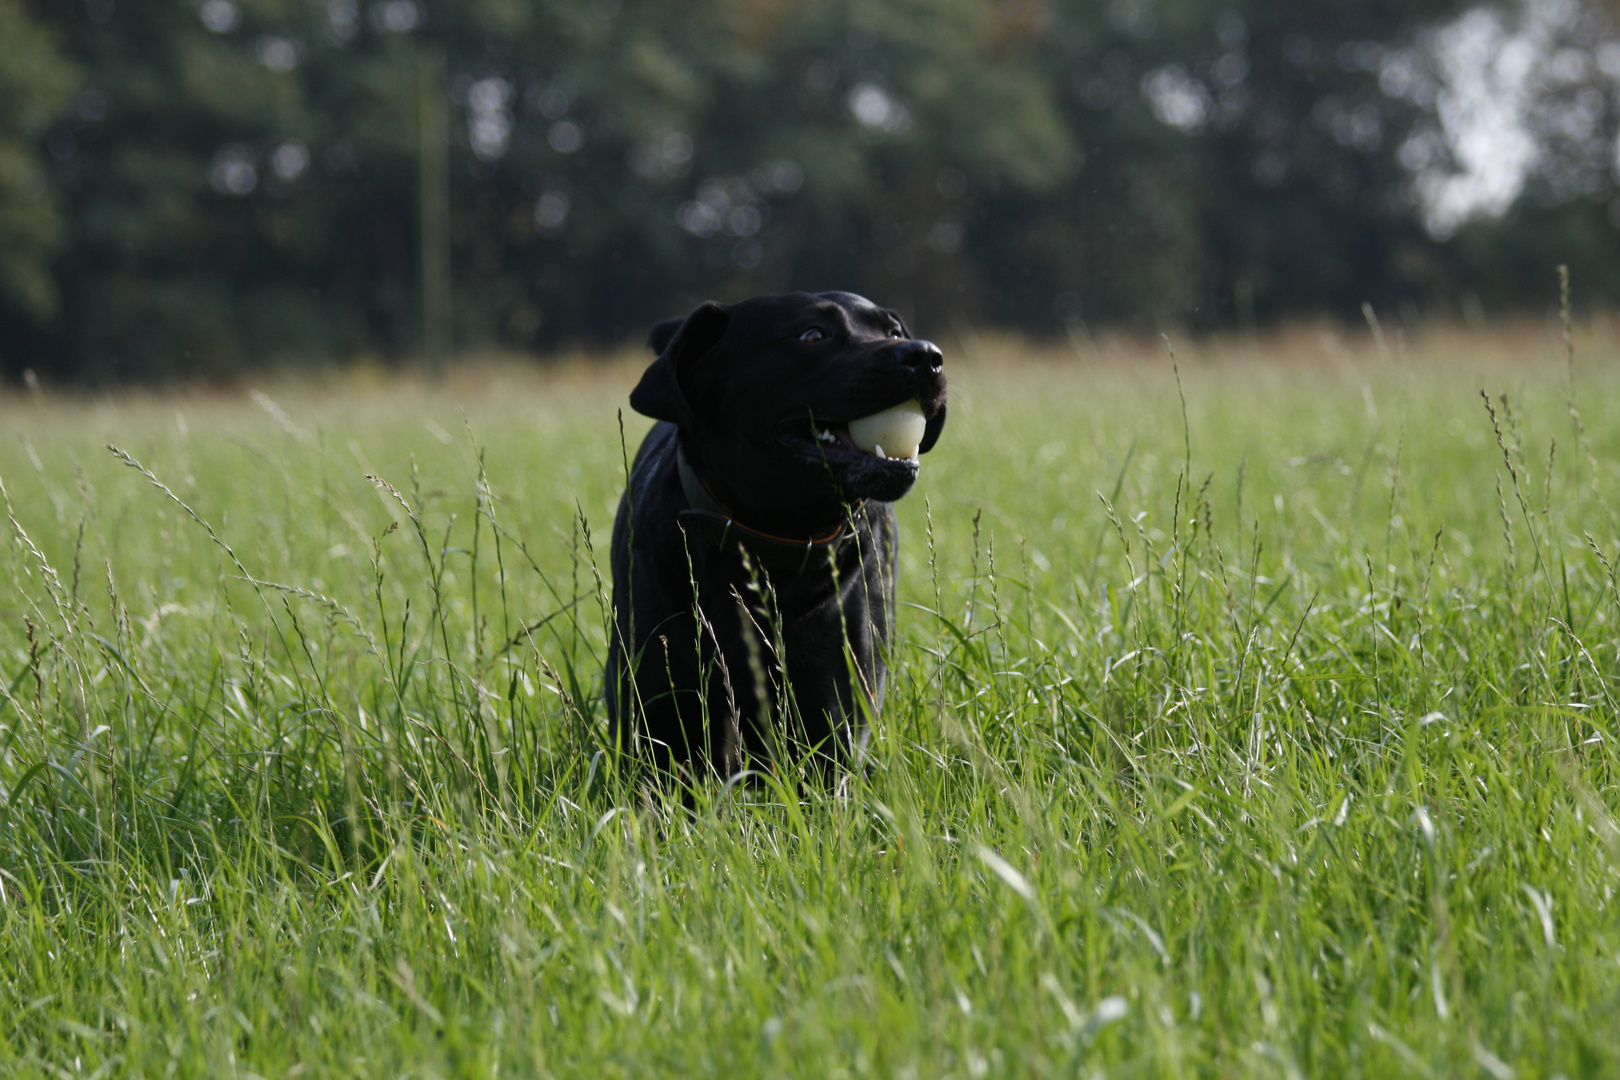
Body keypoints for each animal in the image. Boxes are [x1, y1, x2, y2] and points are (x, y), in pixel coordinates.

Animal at [609, 289, 946, 777]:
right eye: (812, 335)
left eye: (893, 331)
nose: (927, 356)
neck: (772, 549)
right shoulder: (656, 724)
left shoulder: (830, 724)